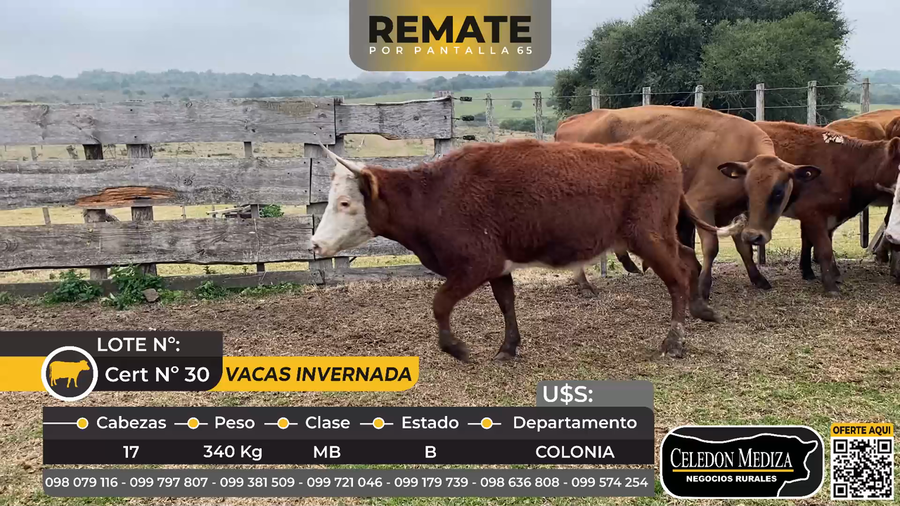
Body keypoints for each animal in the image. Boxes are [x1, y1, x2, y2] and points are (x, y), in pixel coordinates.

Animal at [310, 138, 744, 361]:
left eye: (345, 203)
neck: (436, 196)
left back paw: (675, 341)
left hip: (649, 238)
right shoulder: (498, 265)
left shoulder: (474, 264)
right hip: (662, 235)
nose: (316, 243)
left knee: (676, 279)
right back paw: (701, 310)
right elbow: (506, 303)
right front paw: (509, 346)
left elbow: (440, 303)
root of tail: (652, 148)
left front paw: (456, 348)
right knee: (688, 263)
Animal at [554, 105, 821, 300]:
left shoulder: (736, 215)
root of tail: (571, 121)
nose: (756, 236)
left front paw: (757, 278)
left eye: (778, 192)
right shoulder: (700, 205)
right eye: (750, 188)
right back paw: (585, 283)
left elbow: (743, 248)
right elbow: (711, 247)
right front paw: (703, 286)